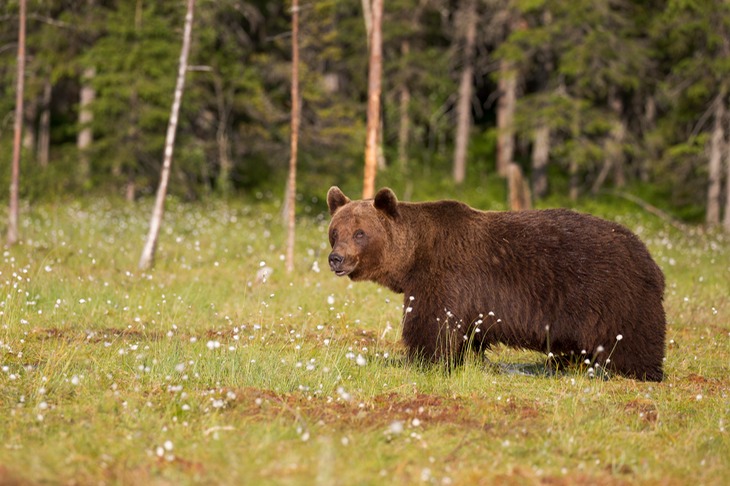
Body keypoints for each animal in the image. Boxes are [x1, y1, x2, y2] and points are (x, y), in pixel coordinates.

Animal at [326, 186, 664, 380]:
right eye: (335, 231)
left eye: (360, 233)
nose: (336, 258)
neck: (414, 257)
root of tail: (647, 254)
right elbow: (464, 334)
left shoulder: (444, 276)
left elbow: (431, 326)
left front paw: (423, 361)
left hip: (614, 296)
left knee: (633, 341)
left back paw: (641, 373)